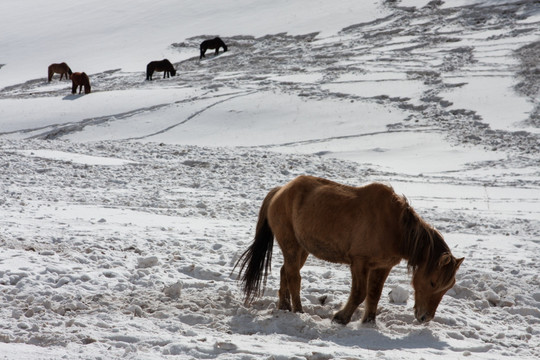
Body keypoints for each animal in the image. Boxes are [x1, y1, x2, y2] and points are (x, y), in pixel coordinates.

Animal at [236, 176, 464, 324]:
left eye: (447, 287)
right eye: (433, 282)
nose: (425, 318)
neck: (396, 227)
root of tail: (280, 190)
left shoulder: (382, 267)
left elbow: (374, 293)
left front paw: (369, 321)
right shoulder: (359, 262)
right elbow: (359, 292)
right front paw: (341, 317)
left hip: (302, 248)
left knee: (286, 271)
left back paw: (284, 306)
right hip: (291, 244)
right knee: (294, 276)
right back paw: (298, 311)